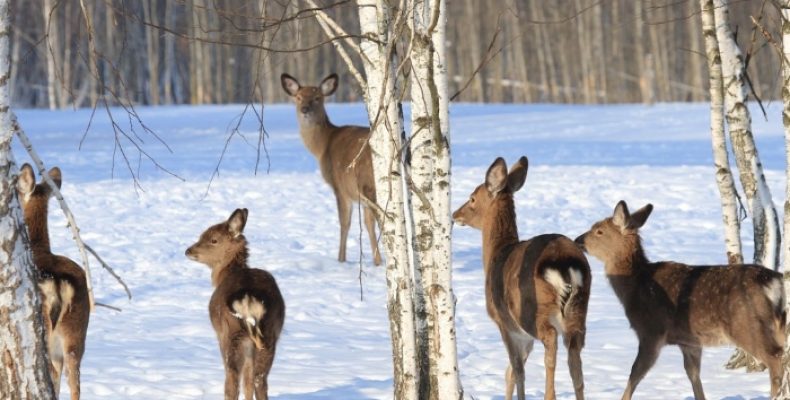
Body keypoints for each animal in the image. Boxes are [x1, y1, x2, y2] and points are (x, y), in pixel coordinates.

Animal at [185, 209, 284, 400]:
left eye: (213, 239)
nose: (188, 250)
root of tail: (248, 298)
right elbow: (248, 381)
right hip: (270, 334)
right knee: (259, 379)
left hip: (231, 334)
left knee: (232, 378)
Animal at [282, 72, 384, 266]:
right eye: (298, 97)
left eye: (317, 98)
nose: (305, 109)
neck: (322, 146)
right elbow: (368, 224)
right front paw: (377, 261)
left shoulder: (339, 186)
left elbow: (344, 222)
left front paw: (341, 259)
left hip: (368, 183)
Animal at [454, 157, 592, 400]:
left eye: (472, 198)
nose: (455, 214)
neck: (496, 254)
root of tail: (564, 264)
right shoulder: (523, 335)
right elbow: (509, 372)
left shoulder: (504, 322)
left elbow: (516, 369)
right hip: (578, 311)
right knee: (576, 362)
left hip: (531, 309)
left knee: (551, 341)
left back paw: (550, 394)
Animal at [580, 202, 788, 400]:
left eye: (599, 230)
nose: (578, 240)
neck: (636, 286)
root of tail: (775, 283)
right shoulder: (689, 341)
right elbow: (693, 375)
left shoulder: (651, 331)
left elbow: (635, 373)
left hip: (746, 325)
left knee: (775, 359)